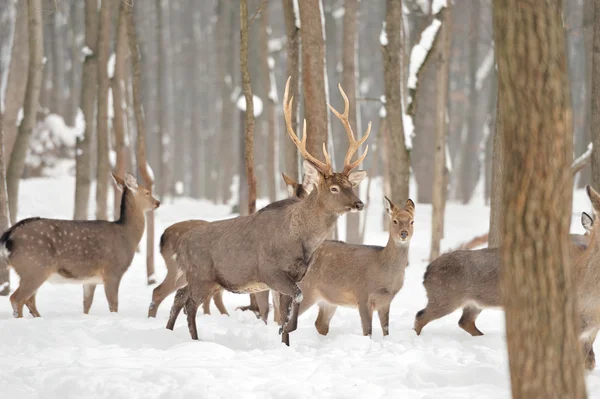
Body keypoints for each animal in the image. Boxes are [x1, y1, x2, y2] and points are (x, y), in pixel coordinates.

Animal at [0, 173, 159, 318]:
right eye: (147, 192)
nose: (157, 202)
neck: (127, 235)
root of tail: (8, 236)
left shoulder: (90, 280)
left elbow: (87, 304)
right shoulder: (113, 270)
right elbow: (113, 304)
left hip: (31, 269)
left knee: (29, 300)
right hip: (34, 266)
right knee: (17, 298)